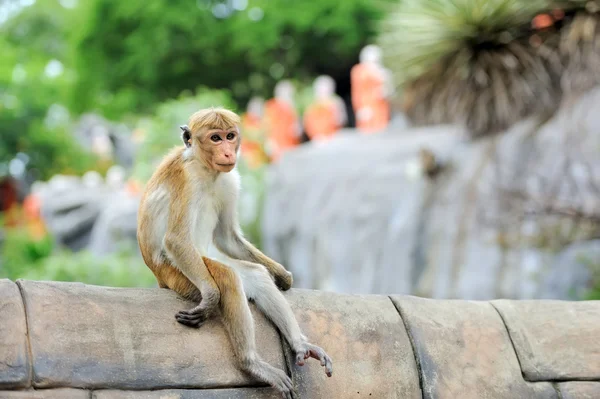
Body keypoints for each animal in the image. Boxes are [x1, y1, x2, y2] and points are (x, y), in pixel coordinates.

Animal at [137, 108, 332, 398]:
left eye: (230, 136)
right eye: (215, 138)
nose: (228, 152)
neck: (205, 169)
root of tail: (158, 276)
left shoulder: (229, 180)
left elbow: (227, 237)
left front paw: (283, 276)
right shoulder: (186, 178)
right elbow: (176, 240)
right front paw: (210, 297)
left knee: (254, 276)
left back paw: (299, 345)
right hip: (178, 273)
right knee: (226, 276)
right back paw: (250, 362)